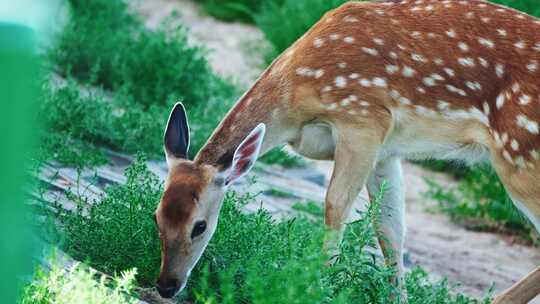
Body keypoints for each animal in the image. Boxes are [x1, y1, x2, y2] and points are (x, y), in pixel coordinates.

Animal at [152, 0, 540, 302]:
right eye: (156, 216)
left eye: (200, 226)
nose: (166, 286)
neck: (292, 101)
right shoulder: (386, 151)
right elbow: (389, 228)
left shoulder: (364, 119)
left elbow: (335, 206)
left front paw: (319, 286)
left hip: (520, 154)